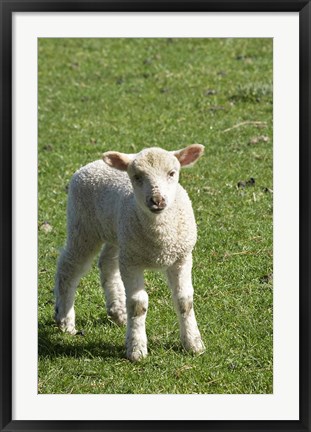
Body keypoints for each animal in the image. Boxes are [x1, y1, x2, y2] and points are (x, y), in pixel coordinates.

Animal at [55, 144, 207, 362]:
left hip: (119, 236)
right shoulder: (132, 262)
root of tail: (92, 164)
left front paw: (193, 344)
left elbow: (184, 301)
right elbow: (138, 304)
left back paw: (118, 311)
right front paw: (136, 349)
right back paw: (65, 320)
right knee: (69, 267)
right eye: (136, 176)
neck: (160, 239)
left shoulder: (181, 257)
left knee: (107, 264)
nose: (157, 200)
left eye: (172, 173)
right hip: (83, 228)